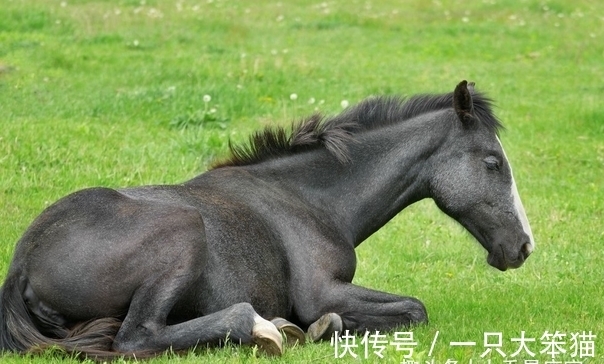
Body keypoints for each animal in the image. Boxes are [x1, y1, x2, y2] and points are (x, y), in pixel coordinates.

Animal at [0, 80, 532, 358]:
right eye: (492, 162)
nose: (523, 247)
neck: (309, 199)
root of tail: (21, 266)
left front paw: (320, 328)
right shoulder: (322, 290)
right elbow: (414, 309)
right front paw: (320, 327)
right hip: (182, 234)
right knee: (137, 338)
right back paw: (265, 329)